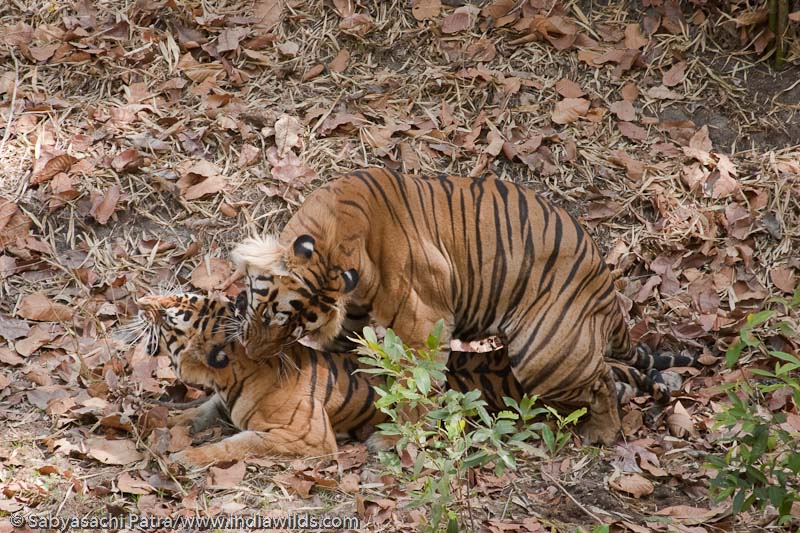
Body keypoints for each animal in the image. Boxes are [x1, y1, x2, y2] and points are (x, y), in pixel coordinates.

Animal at [231, 168, 699, 445]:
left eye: (288, 324)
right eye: (276, 318)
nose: (251, 354)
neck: (338, 241)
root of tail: (605, 283)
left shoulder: (423, 322)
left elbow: (415, 385)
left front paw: (401, 438)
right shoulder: (353, 319)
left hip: (544, 351)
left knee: (601, 382)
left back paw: (603, 432)